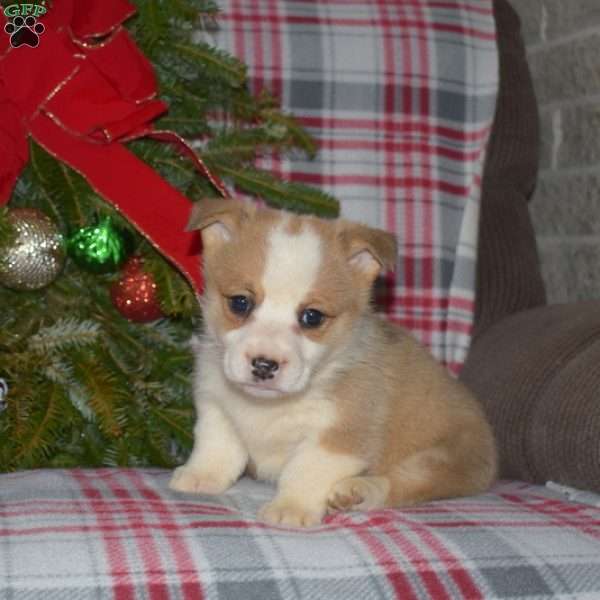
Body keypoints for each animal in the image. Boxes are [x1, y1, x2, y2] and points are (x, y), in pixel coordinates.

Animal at [170, 199, 496, 528]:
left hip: (441, 460)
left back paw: (358, 491)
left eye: (312, 317)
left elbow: (305, 470)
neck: (268, 406)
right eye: (240, 302)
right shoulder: (216, 406)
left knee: (402, 483)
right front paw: (201, 477)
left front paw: (291, 508)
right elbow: (217, 447)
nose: (264, 365)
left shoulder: (338, 436)